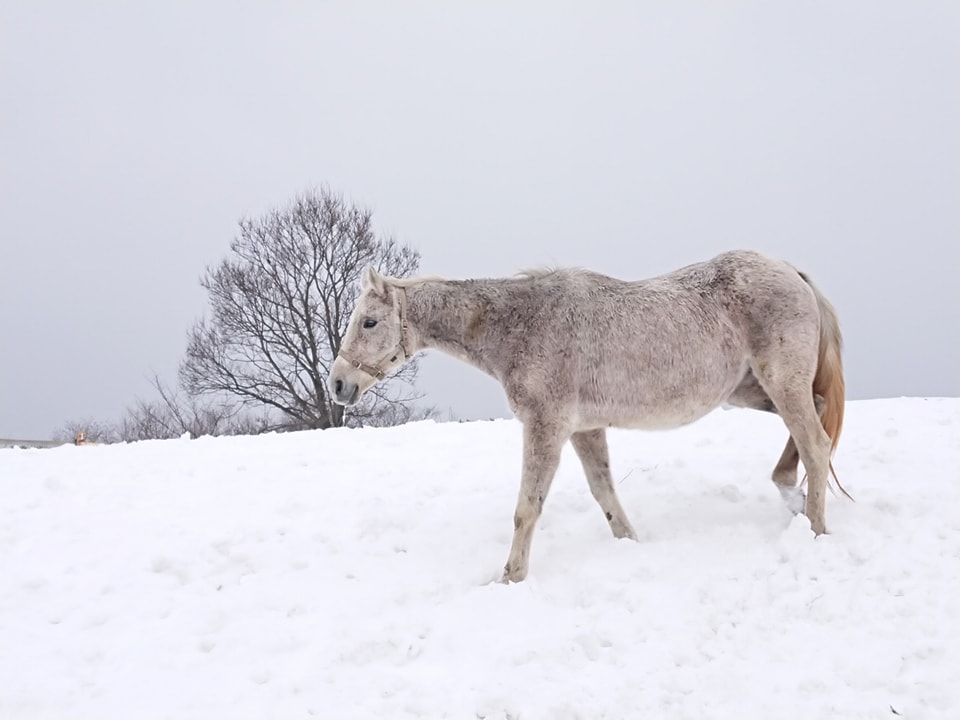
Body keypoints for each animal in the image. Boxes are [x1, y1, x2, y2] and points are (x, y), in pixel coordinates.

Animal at [328, 250, 840, 584]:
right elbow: (604, 492)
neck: (522, 324)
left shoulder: (546, 426)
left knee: (816, 444)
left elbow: (527, 507)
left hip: (780, 383)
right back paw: (791, 493)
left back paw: (816, 528)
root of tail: (790, 272)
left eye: (369, 322)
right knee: (812, 426)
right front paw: (630, 545)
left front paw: (511, 578)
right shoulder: (585, 429)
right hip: (755, 390)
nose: (338, 384)